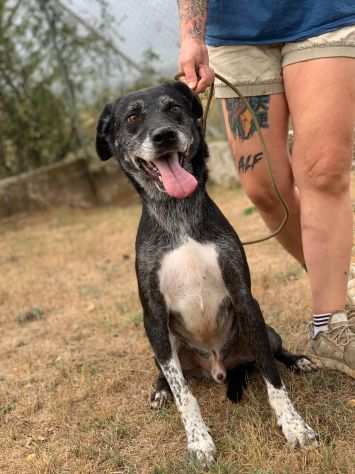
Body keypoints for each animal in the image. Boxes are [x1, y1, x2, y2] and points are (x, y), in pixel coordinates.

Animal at [96, 80, 318, 462]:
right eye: (133, 118)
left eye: (174, 108)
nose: (164, 136)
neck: (179, 216)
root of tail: (217, 369)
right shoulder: (154, 317)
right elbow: (185, 396)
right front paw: (199, 442)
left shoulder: (245, 300)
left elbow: (272, 377)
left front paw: (295, 426)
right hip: (159, 346)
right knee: (172, 376)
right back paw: (160, 391)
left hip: (265, 330)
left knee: (272, 354)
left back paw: (299, 361)